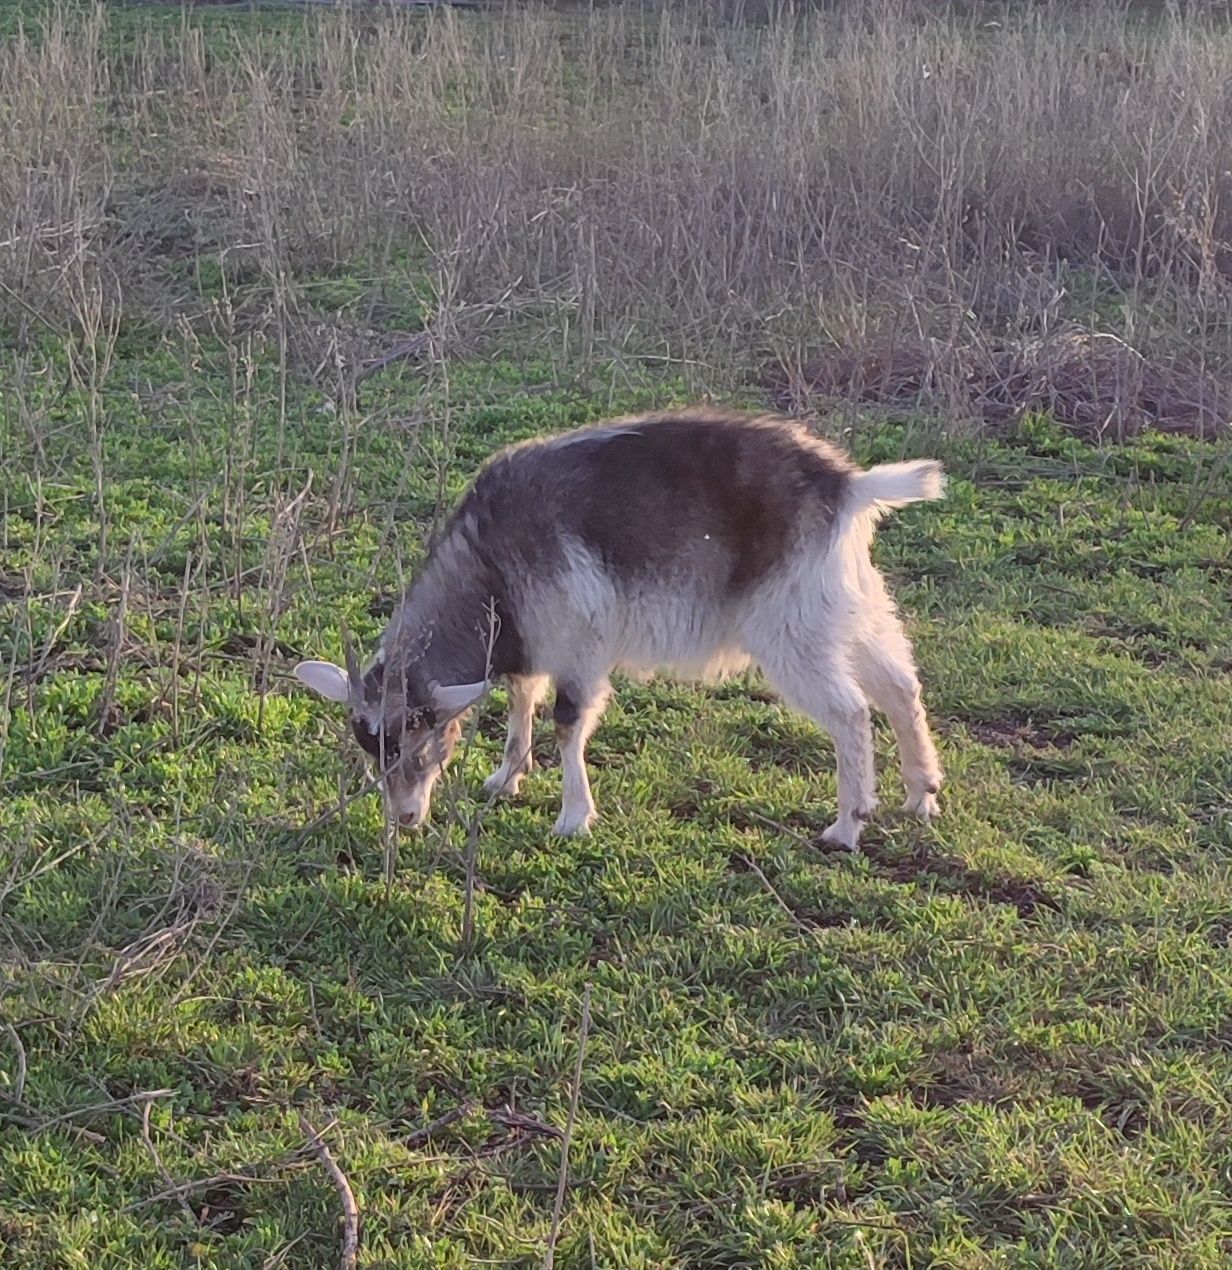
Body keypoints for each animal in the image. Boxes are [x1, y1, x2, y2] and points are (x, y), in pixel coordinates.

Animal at [295, 411, 939, 853]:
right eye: (368, 744)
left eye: (417, 733)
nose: (404, 816)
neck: (490, 567)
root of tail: (849, 487)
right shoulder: (534, 641)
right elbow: (520, 696)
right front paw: (506, 776)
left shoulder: (582, 645)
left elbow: (567, 721)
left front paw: (573, 817)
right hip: (846, 606)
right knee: (900, 685)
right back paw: (920, 794)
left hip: (793, 626)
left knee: (850, 711)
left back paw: (847, 825)